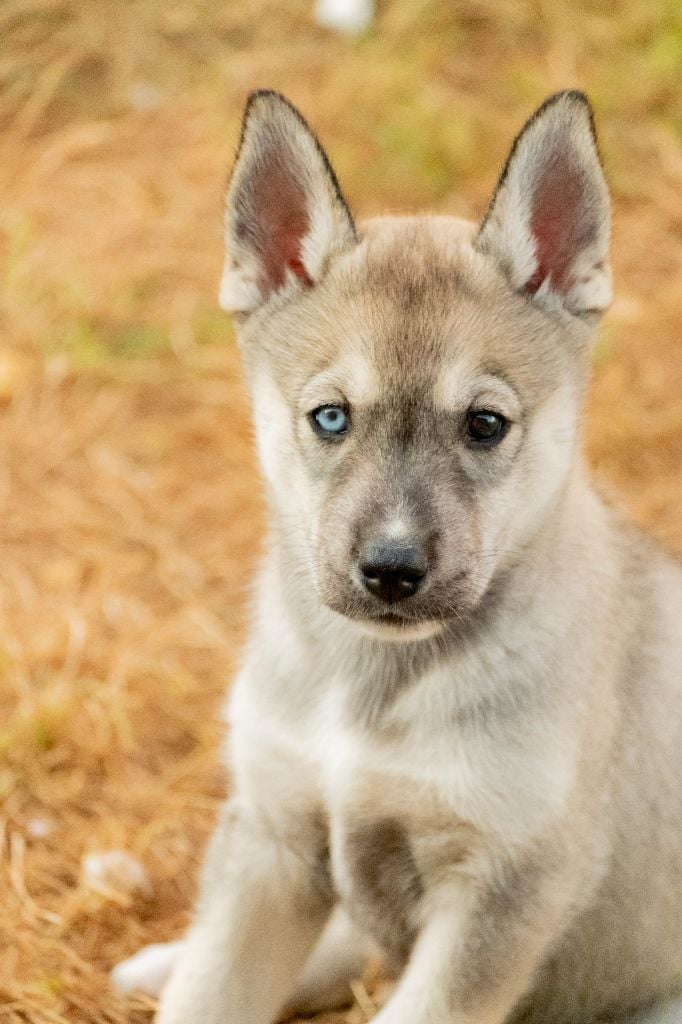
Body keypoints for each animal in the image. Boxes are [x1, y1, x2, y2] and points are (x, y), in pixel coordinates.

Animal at [113, 91, 682, 1024]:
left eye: (484, 424)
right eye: (330, 417)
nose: (390, 569)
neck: (371, 687)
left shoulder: (500, 887)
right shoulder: (274, 833)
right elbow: (211, 990)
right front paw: (188, 972)